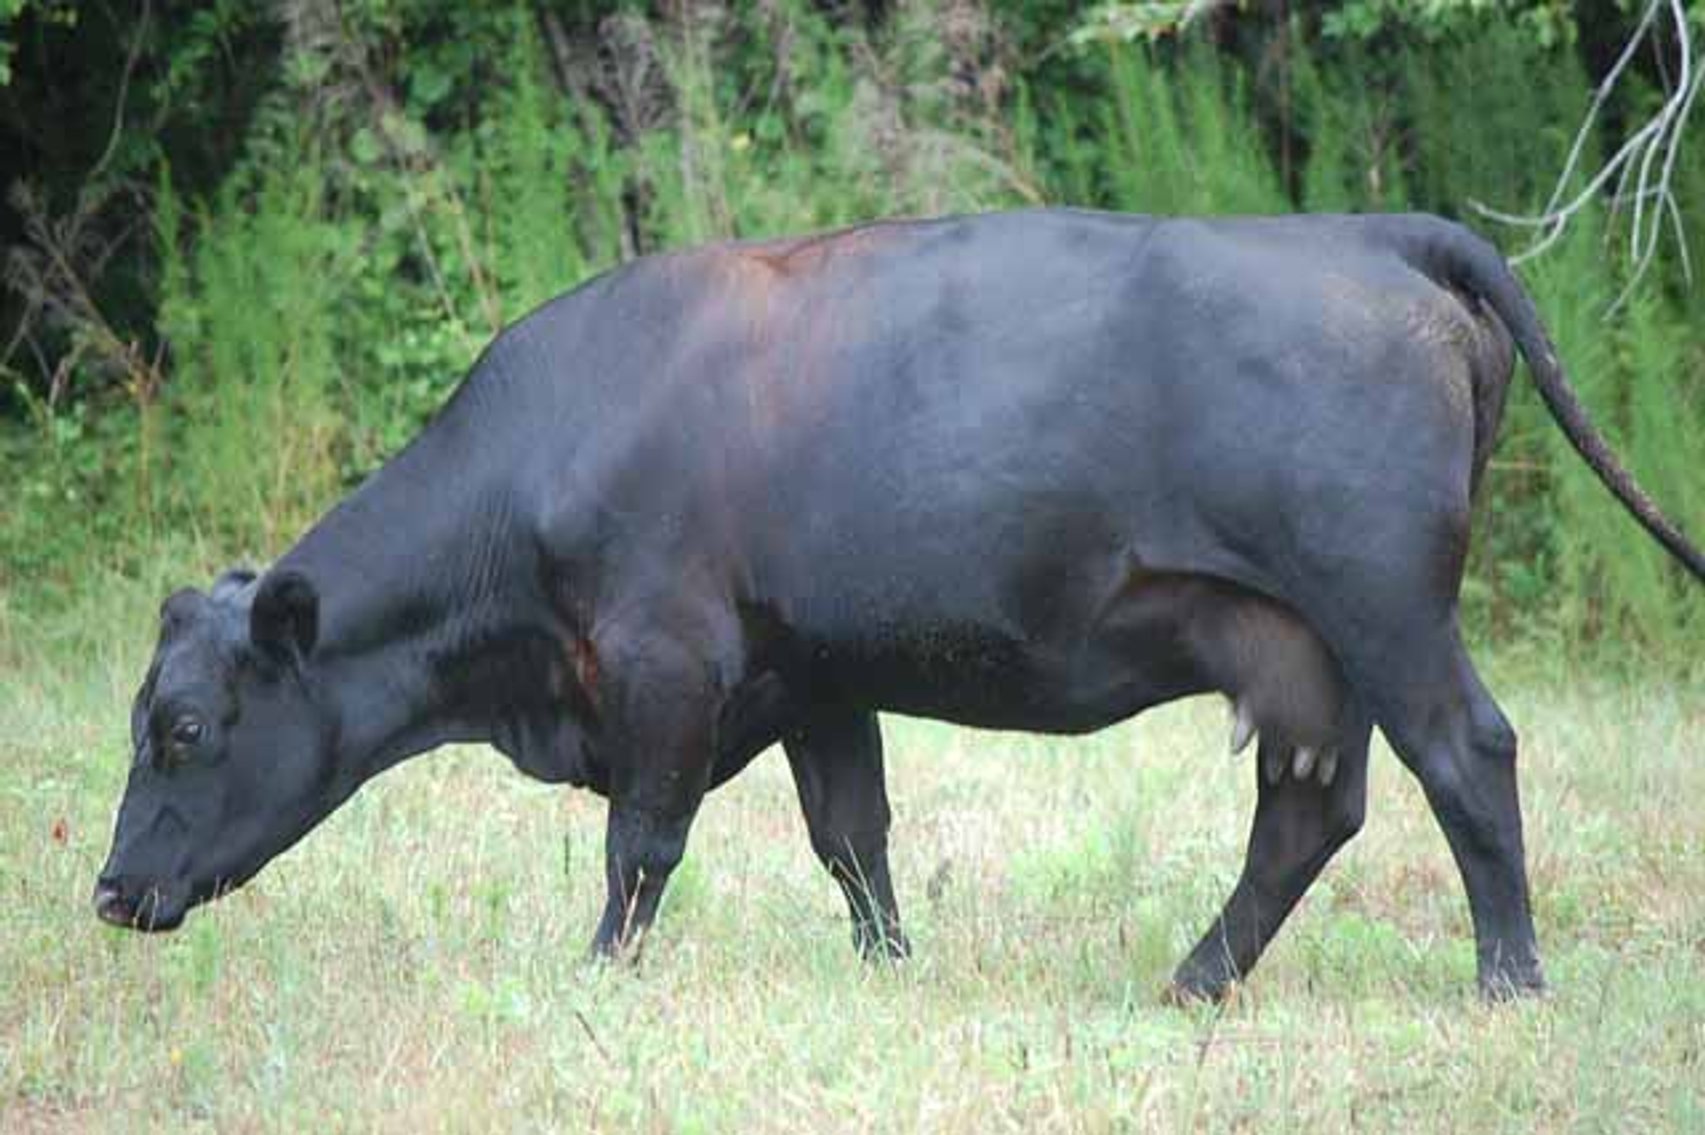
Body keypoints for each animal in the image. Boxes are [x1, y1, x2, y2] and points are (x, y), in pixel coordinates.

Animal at [94, 210, 1704, 1001]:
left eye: (184, 728)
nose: (109, 891)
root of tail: (1364, 232)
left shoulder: (665, 663)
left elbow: (641, 847)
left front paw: (600, 976)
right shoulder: (816, 677)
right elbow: (851, 839)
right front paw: (890, 970)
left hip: (1385, 611)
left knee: (1468, 760)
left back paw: (1507, 979)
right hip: (1301, 648)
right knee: (1309, 811)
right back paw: (1191, 981)